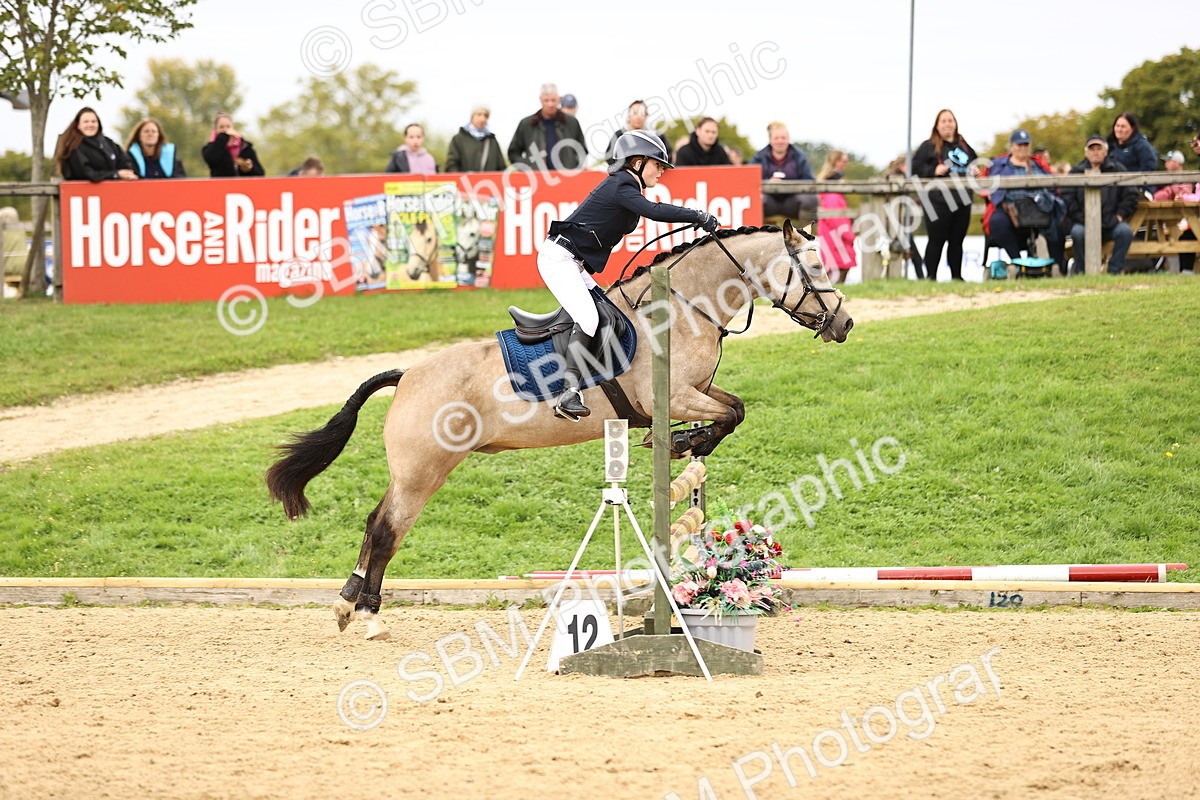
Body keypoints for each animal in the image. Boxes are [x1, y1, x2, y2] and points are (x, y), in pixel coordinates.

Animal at [267, 220, 854, 640]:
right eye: (815, 268)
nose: (844, 324)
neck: (683, 306)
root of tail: (407, 375)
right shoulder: (672, 396)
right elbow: (730, 415)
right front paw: (687, 440)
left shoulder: (698, 392)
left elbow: (734, 409)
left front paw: (691, 441)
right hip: (422, 472)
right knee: (388, 530)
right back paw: (369, 617)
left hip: (412, 473)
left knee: (373, 523)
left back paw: (346, 605)